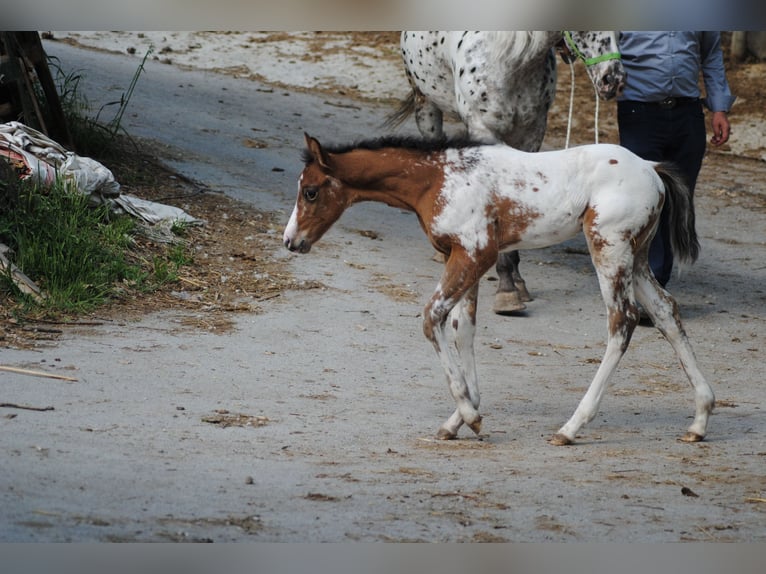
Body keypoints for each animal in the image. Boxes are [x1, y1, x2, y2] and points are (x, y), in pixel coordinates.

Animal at [284, 134, 716, 446]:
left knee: (622, 321)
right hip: (637, 257)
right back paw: (699, 420)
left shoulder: (476, 253)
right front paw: (458, 418)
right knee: (666, 311)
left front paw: (471, 416)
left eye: (310, 191)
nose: (290, 241)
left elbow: (431, 317)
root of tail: (651, 168)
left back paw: (570, 428)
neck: (438, 178)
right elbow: (463, 328)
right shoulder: (461, 257)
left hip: (609, 249)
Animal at [388, 32, 628, 316]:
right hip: (426, 106)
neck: (514, 62)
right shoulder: (485, 130)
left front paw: (515, 282)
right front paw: (506, 289)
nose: (613, 80)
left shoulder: (531, 133)